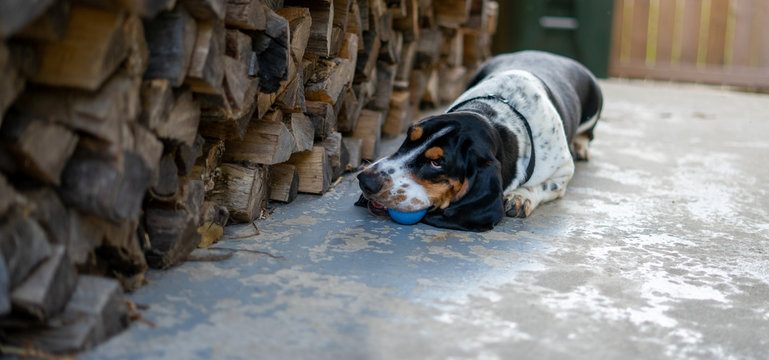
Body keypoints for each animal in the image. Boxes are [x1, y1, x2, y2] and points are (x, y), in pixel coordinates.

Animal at [356, 50, 604, 231]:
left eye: (437, 163)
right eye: (409, 137)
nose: (365, 180)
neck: (496, 115)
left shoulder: (563, 170)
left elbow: (543, 185)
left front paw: (520, 197)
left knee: (588, 134)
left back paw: (581, 146)